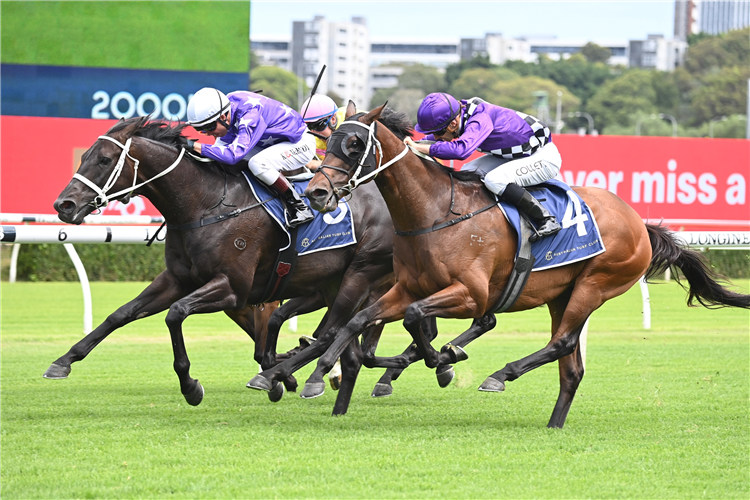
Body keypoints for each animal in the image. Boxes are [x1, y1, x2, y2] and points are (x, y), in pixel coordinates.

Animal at [48, 117, 400, 414]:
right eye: (84, 157)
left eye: (105, 160)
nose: (64, 205)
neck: (205, 205)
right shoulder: (177, 280)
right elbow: (121, 314)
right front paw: (64, 360)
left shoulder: (233, 290)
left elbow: (176, 313)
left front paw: (191, 387)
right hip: (333, 284)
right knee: (344, 344)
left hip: (362, 276)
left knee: (341, 334)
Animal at [278, 103, 750, 428]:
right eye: (330, 141)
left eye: (355, 144)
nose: (317, 192)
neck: (434, 211)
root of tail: (639, 222)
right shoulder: (405, 287)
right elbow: (359, 320)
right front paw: (316, 373)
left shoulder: (470, 293)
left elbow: (416, 321)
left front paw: (442, 360)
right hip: (562, 293)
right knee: (571, 367)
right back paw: (553, 422)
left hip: (595, 285)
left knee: (562, 343)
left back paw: (500, 374)